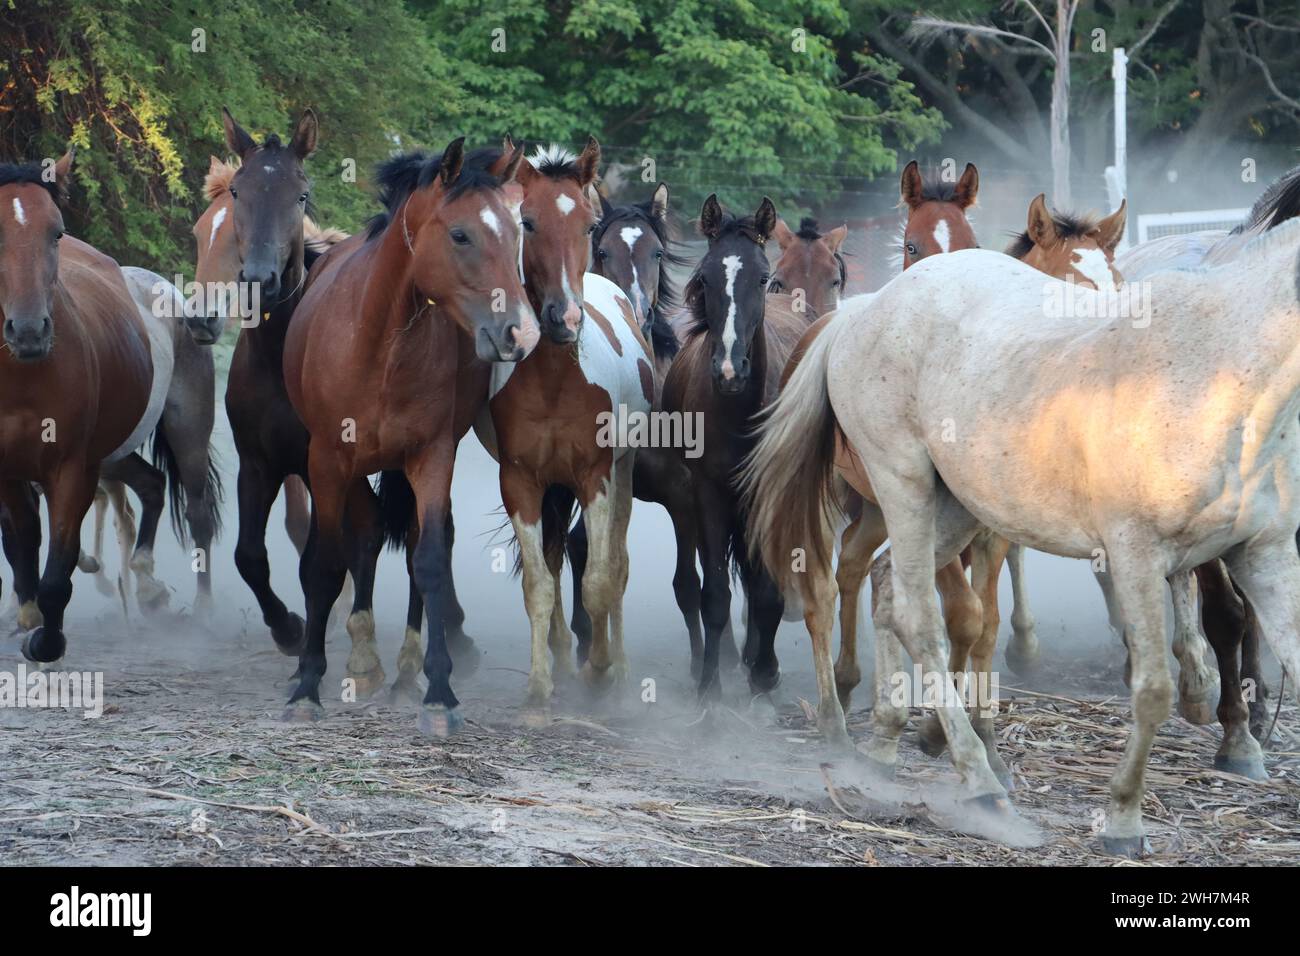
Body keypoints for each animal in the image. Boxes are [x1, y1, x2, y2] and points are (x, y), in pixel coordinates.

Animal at [0, 157, 154, 665]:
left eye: (57, 231)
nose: (29, 330)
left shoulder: (74, 468)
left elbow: (58, 571)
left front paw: (45, 641)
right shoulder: (7, 470)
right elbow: (23, 538)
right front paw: (27, 617)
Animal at [286, 138, 538, 738]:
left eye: (517, 232)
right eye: (461, 235)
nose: (521, 332)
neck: (380, 345)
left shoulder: (432, 456)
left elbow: (428, 560)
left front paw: (439, 693)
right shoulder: (327, 458)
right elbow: (325, 563)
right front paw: (307, 686)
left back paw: (403, 671)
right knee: (366, 535)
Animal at [748, 213, 1300, 858]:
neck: (1218, 375)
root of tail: (861, 311)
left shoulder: (1263, 556)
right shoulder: (1135, 557)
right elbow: (1152, 689)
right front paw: (1122, 821)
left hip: (957, 506)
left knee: (886, 587)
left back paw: (886, 744)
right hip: (902, 487)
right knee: (915, 614)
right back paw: (979, 780)